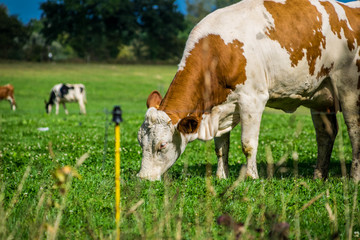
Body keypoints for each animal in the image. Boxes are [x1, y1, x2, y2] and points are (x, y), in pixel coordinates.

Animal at [137, 0, 360, 181]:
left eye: (162, 145)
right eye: (140, 142)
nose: (143, 178)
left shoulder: (253, 99)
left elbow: (248, 144)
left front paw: (251, 177)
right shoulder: (221, 107)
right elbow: (221, 147)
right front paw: (221, 176)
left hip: (348, 88)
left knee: (354, 130)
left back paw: (354, 177)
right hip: (321, 96)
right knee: (326, 134)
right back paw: (319, 177)